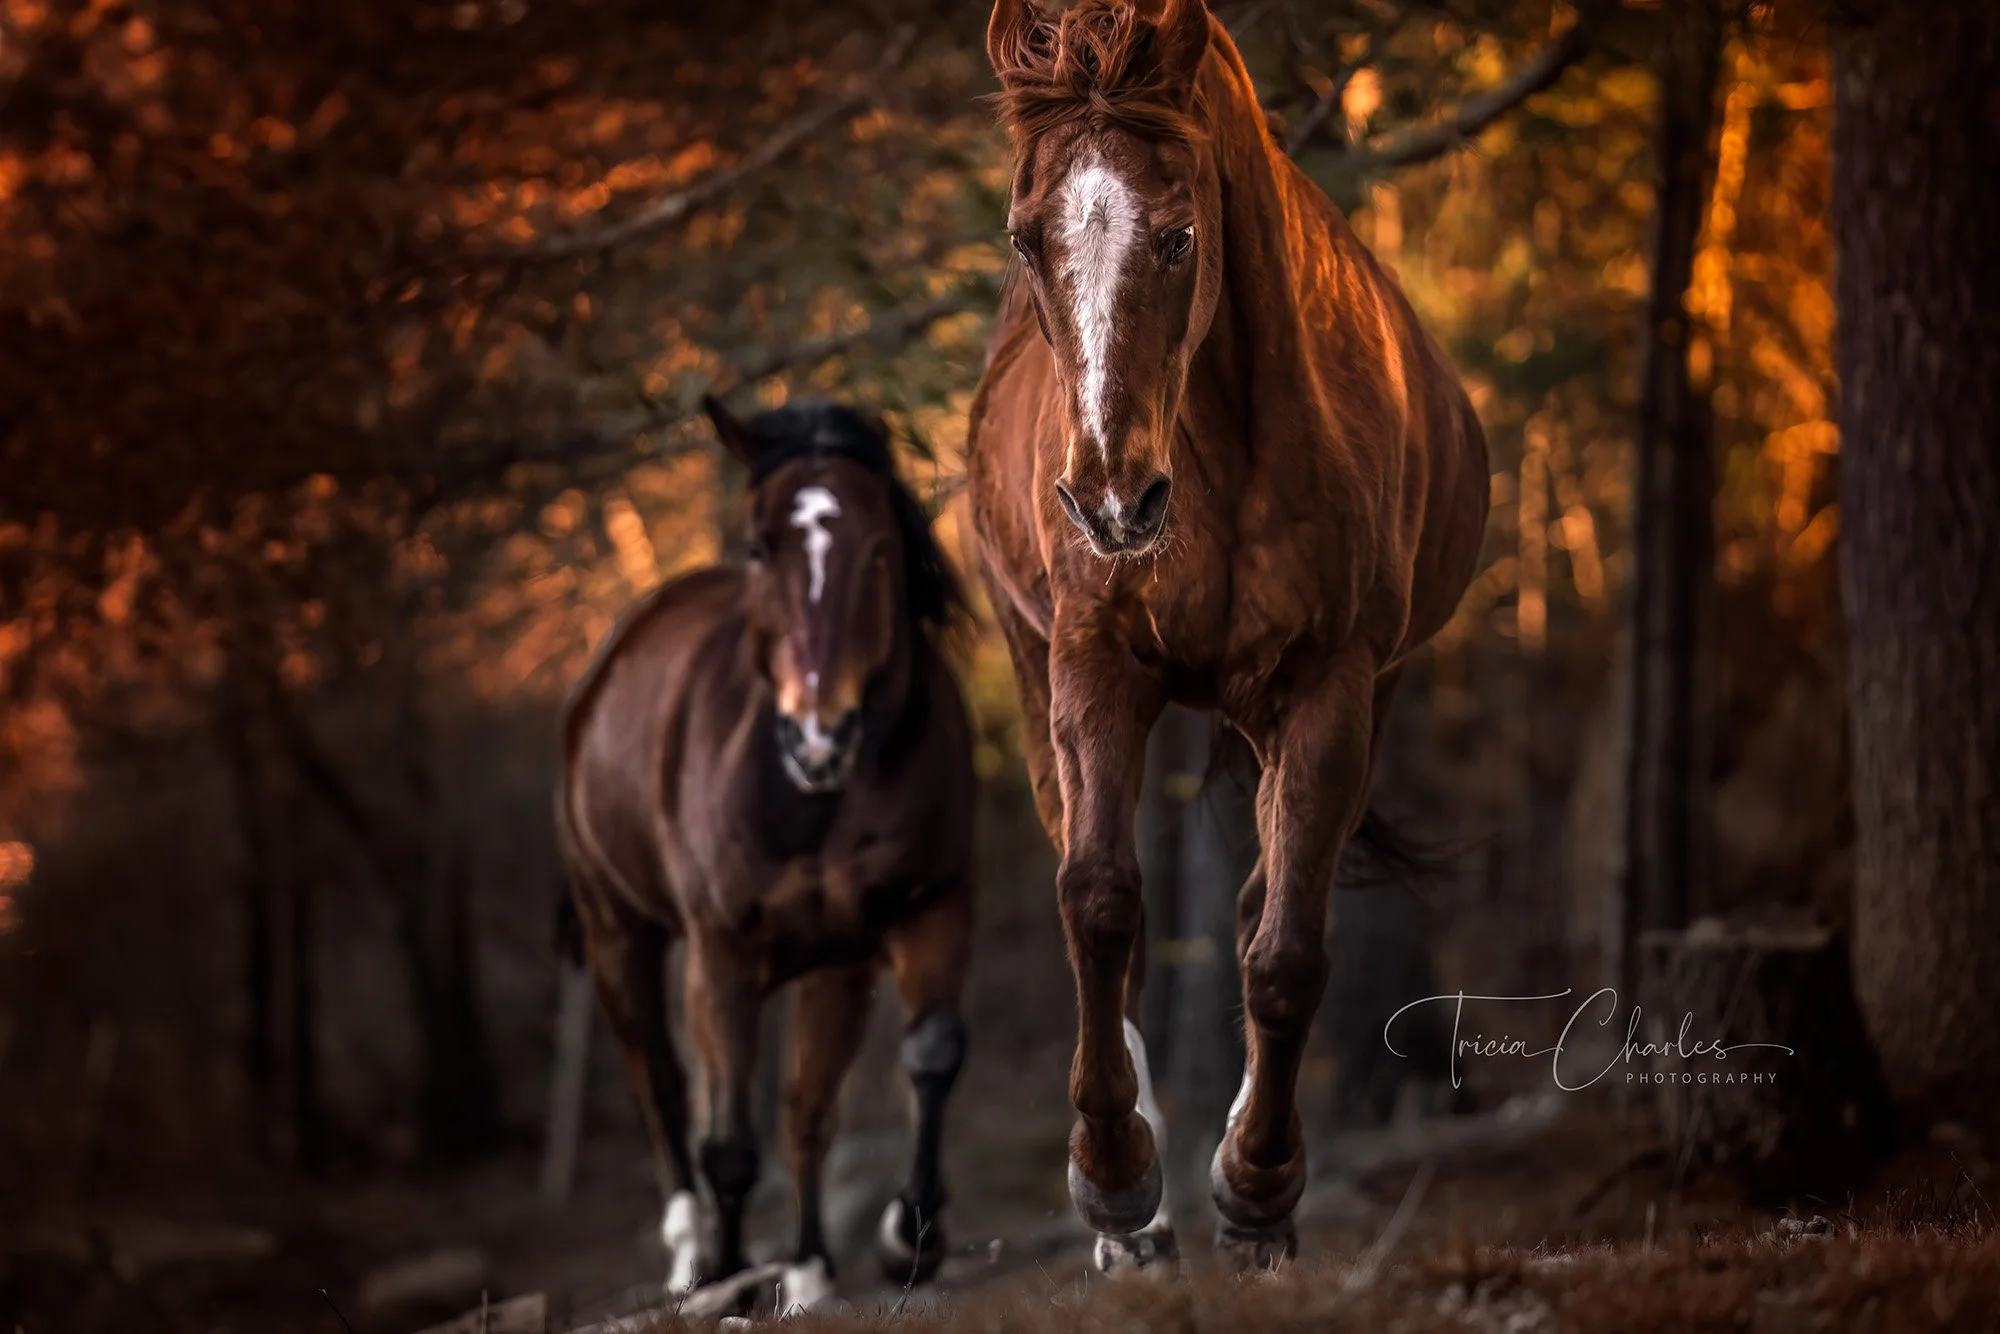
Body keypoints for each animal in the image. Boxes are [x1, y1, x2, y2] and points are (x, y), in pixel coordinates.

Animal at [556, 396, 975, 1308]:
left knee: (801, 1108)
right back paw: (691, 1255)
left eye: (879, 546)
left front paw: (908, 1239)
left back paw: (810, 1267)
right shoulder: (722, 952)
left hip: (824, 964)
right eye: (759, 547)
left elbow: (922, 1059)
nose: (818, 739)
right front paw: (723, 1274)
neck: (810, 802)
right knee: (661, 1084)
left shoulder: (920, 912)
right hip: (618, 932)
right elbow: (727, 1144)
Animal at [967, 0, 1490, 1272]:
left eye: (1178, 236)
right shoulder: (1090, 662)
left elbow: (1284, 946)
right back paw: (1139, 1224)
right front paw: (1115, 1185)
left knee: (1266, 902)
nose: (1108, 501)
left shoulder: (1329, 684)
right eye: (1023, 239)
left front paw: (1255, 1193)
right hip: (1032, 667)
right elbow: (1098, 899)